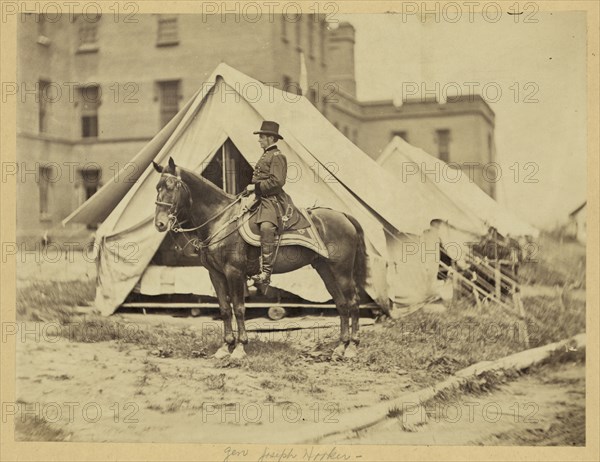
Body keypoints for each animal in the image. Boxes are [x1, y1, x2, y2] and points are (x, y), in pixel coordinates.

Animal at [154, 159, 370, 360]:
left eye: (172, 186)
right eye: (157, 187)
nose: (160, 224)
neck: (220, 220)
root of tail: (343, 216)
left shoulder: (234, 272)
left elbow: (239, 308)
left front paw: (240, 348)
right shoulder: (215, 274)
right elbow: (224, 309)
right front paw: (225, 346)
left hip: (342, 271)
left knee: (353, 302)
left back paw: (352, 347)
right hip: (325, 270)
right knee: (341, 304)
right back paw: (340, 346)